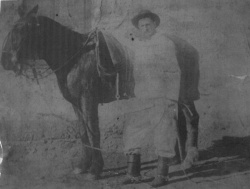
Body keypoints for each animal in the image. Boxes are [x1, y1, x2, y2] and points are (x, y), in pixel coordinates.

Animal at [0, 5, 135, 179]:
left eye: (24, 29)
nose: (5, 61)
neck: (75, 59)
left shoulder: (88, 100)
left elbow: (93, 132)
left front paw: (96, 169)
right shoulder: (76, 103)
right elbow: (83, 131)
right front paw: (83, 165)